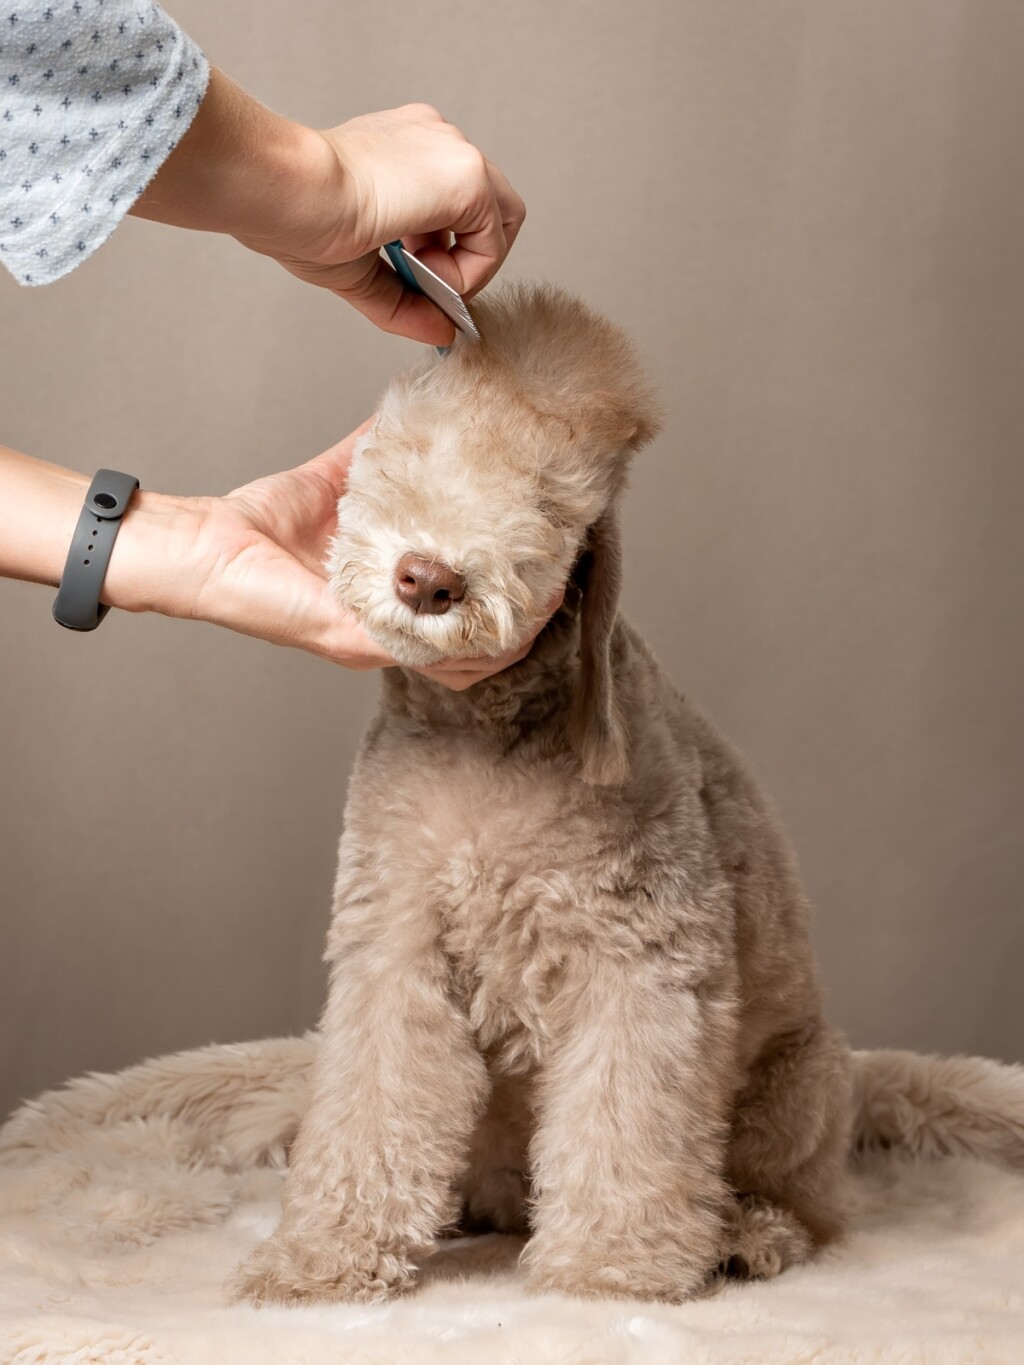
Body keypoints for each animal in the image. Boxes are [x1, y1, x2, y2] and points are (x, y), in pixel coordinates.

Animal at [236, 285, 851, 1299]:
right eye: (413, 450)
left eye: (546, 500)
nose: (429, 578)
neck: (483, 734)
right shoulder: (393, 947)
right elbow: (370, 1104)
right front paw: (322, 1259)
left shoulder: (641, 961)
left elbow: (626, 1124)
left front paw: (610, 1271)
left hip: (801, 1083)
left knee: (809, 1200)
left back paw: (748, 1231)